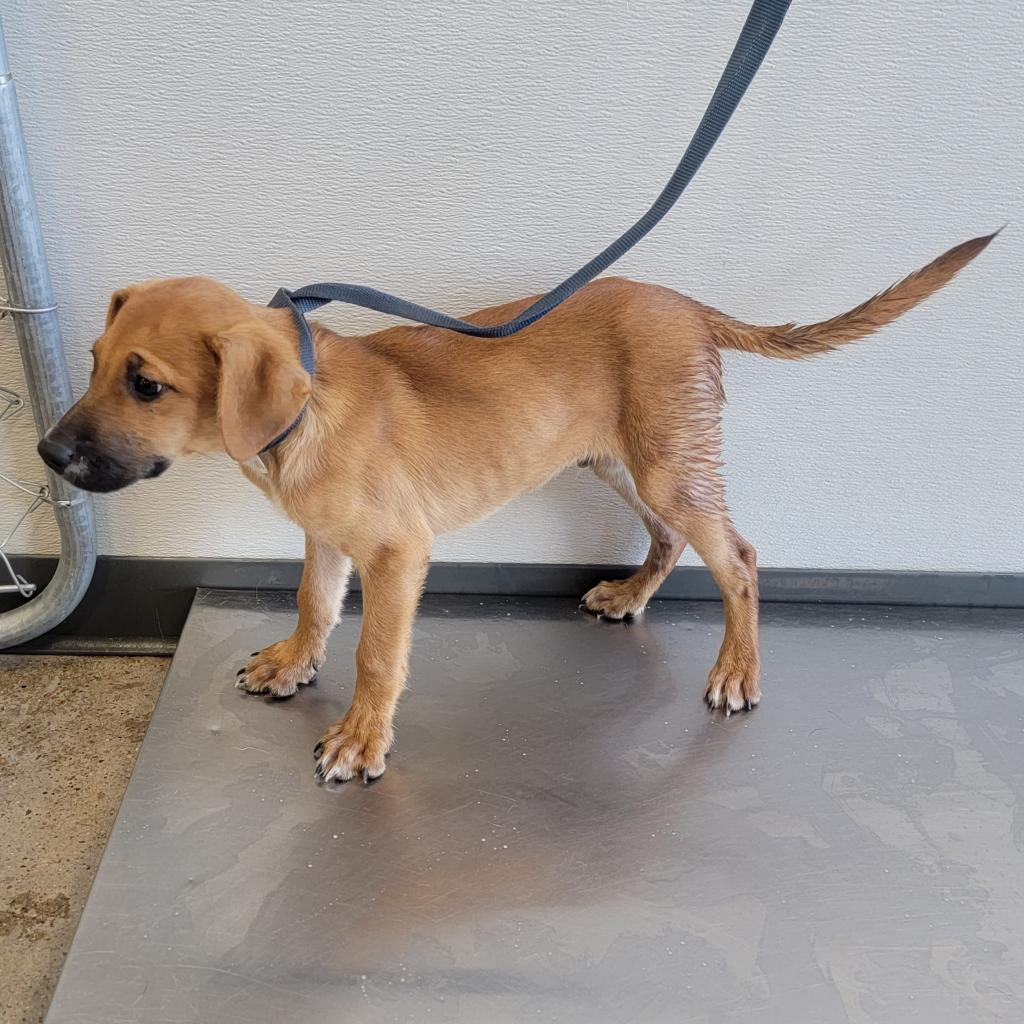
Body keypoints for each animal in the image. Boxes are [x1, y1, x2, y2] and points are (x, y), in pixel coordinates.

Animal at [39, 235, 991, 778]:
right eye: (92, 362)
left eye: (146, 385)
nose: (46, 455)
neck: (305, 414)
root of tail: (689, 307)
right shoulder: (327, 539)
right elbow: (314, 605)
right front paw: (291, 664)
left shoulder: (397, 553)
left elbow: (377, 656)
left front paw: (362, 738)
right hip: (618, 461)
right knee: (668, 541)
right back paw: (630, 596)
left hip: (666, 466)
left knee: (741, 560)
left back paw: (737, 671)